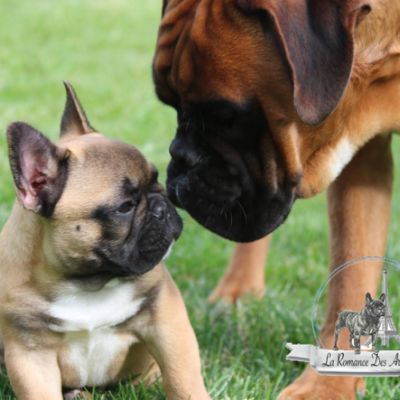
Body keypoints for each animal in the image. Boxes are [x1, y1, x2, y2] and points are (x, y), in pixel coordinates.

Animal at [0, 82, 210, 400]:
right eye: (125, 207)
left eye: (156, 180)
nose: (162, 206)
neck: (87, 281)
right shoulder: (30, 354)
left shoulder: (165, 317)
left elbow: (182, 377)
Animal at [153, 0, 400, 398]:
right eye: (171, 104)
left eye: (228, 119)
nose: (180, 158)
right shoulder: (363, 155)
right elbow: (351, 267)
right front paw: (329, 386)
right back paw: (238, 290)